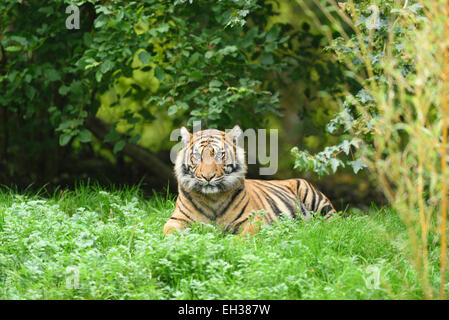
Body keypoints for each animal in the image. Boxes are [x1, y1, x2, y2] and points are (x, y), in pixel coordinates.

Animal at [162, 125, 336, 235]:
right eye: (197, 156)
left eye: (220, 155)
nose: (208, 176)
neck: (213, 199)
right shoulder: (177, 218)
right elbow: (168, 231)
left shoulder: (253, 219)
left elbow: (243, 238)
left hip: (314, 198)